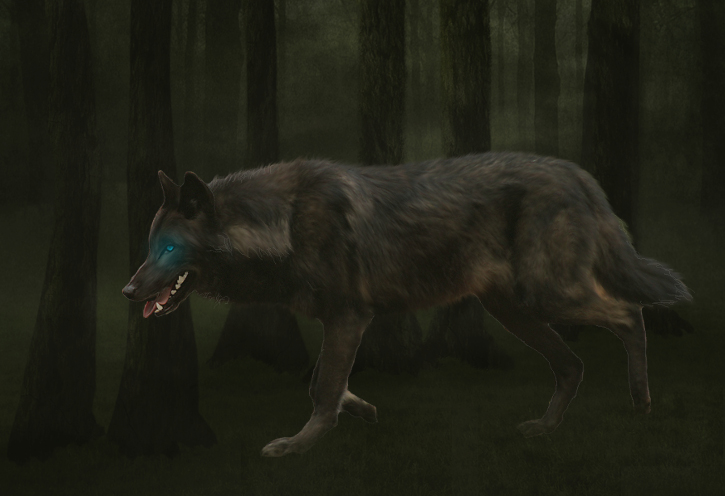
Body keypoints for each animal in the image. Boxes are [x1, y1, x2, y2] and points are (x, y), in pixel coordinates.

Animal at [122, 152, 692, 457]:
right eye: (149, 247)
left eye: (168, 250)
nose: (127, 292)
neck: (282, 223)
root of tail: (578, 173)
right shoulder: (342, 321)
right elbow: (323, 382)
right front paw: (363, 408)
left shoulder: (349, 316)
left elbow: (322, 387)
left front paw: (299, 444)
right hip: (514, 310)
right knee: (572, 363)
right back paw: (545, 429)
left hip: (548, 296)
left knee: (628, 315)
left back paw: (641, 402)